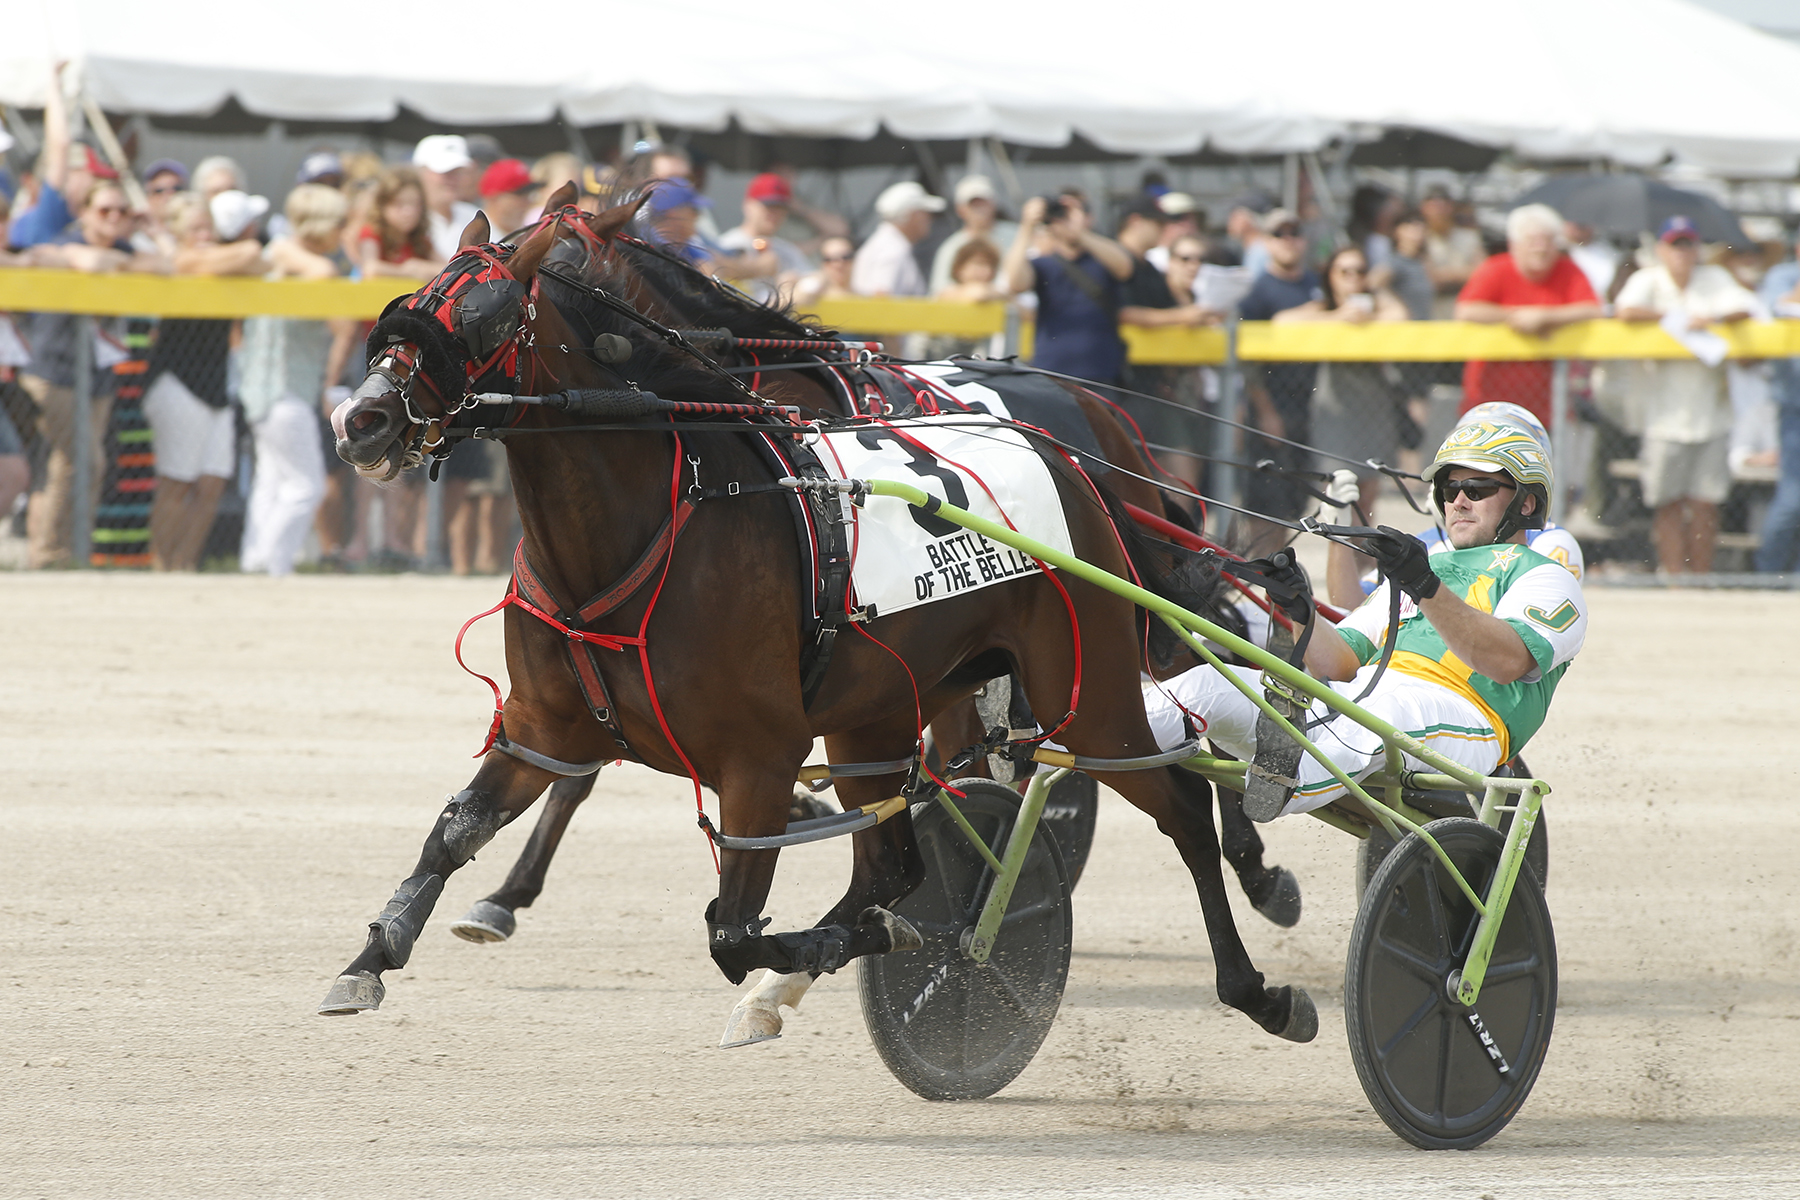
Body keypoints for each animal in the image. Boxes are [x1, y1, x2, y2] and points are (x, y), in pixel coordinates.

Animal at [318, 196, 1319, 1050]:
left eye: (486, 319)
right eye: (408, 305)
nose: (359, 420)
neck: (655, 520)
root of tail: (1078, 449)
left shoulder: (756, 758)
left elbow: (731, 929)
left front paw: (823, 951)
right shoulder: (546, 724)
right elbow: (460, 828)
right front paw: (377, 953)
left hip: (1088, 687)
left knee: (1179, 797)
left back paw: (1258, 972)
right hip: (880, 711)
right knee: (893, 865)